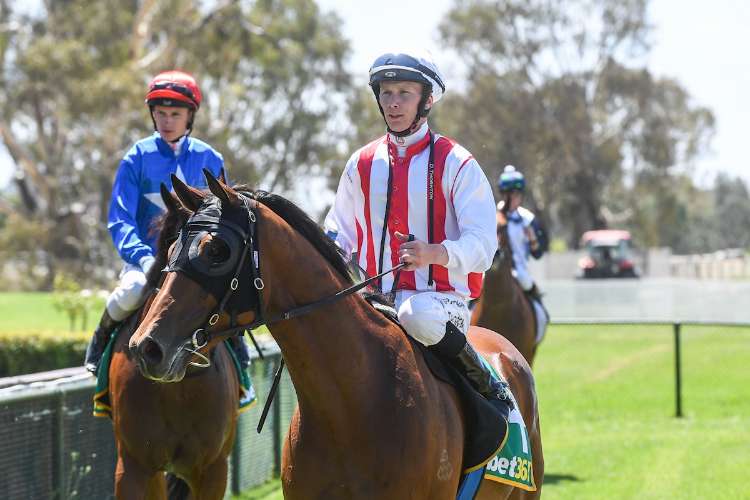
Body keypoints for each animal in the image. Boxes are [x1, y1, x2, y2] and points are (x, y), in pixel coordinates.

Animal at [107, 184, 240, 499]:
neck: (177, 388)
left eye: (216, 253)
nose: (150, 348)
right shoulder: (134, 466)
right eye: (167, 250)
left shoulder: (213, 470)